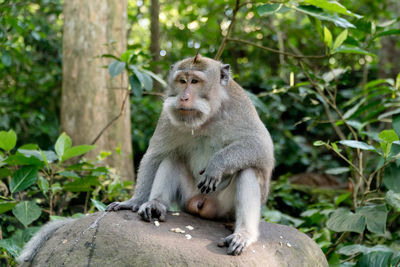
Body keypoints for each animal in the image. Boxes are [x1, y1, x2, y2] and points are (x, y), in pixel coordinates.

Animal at [107, 55, 276, 258]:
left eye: (195, 81)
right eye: (182, 81)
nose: (183, 97)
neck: (207, 117)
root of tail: (201, 203)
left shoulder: (240, 107)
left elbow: (262, 148)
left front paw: (217, 164)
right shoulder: (167, 115)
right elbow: (155, 156)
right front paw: (134, 201)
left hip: (224, 208)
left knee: (248, 169)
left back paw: (243, 234)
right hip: (187, 198)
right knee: (172, 158)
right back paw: (156, 204)